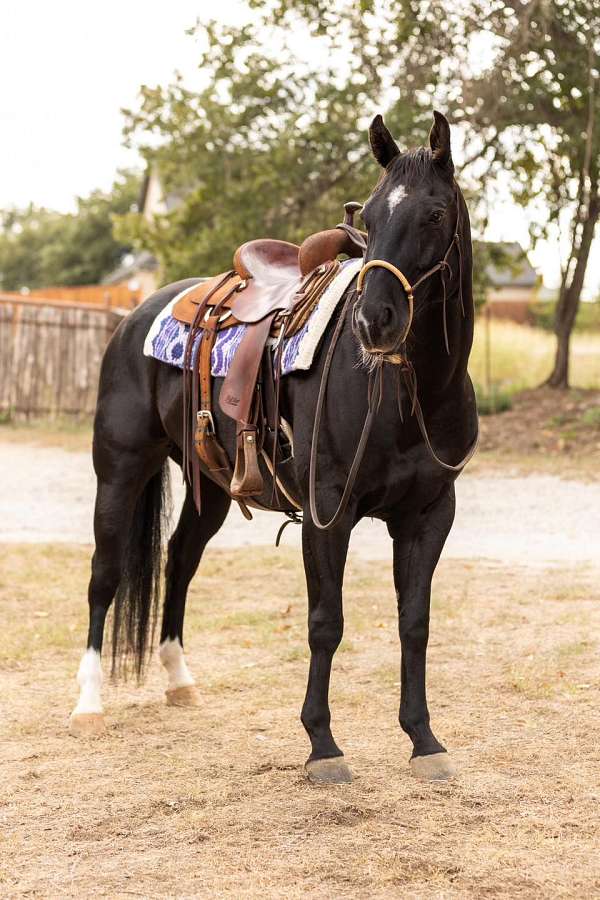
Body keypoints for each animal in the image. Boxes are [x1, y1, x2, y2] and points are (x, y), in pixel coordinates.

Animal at [70, 112, 476, 784]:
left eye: (435, 213)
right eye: (369, 218)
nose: (374, 321)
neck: (405, 394)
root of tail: (136, 315)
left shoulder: (429, 515)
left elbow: (414, 624)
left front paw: (424, 740)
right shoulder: (327, 512)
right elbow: (325, 622)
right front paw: (323, 745)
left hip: (209, 487)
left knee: (180, 561)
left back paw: (180, 681)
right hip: (121, 471)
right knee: (105, 575)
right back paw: (88, 705)